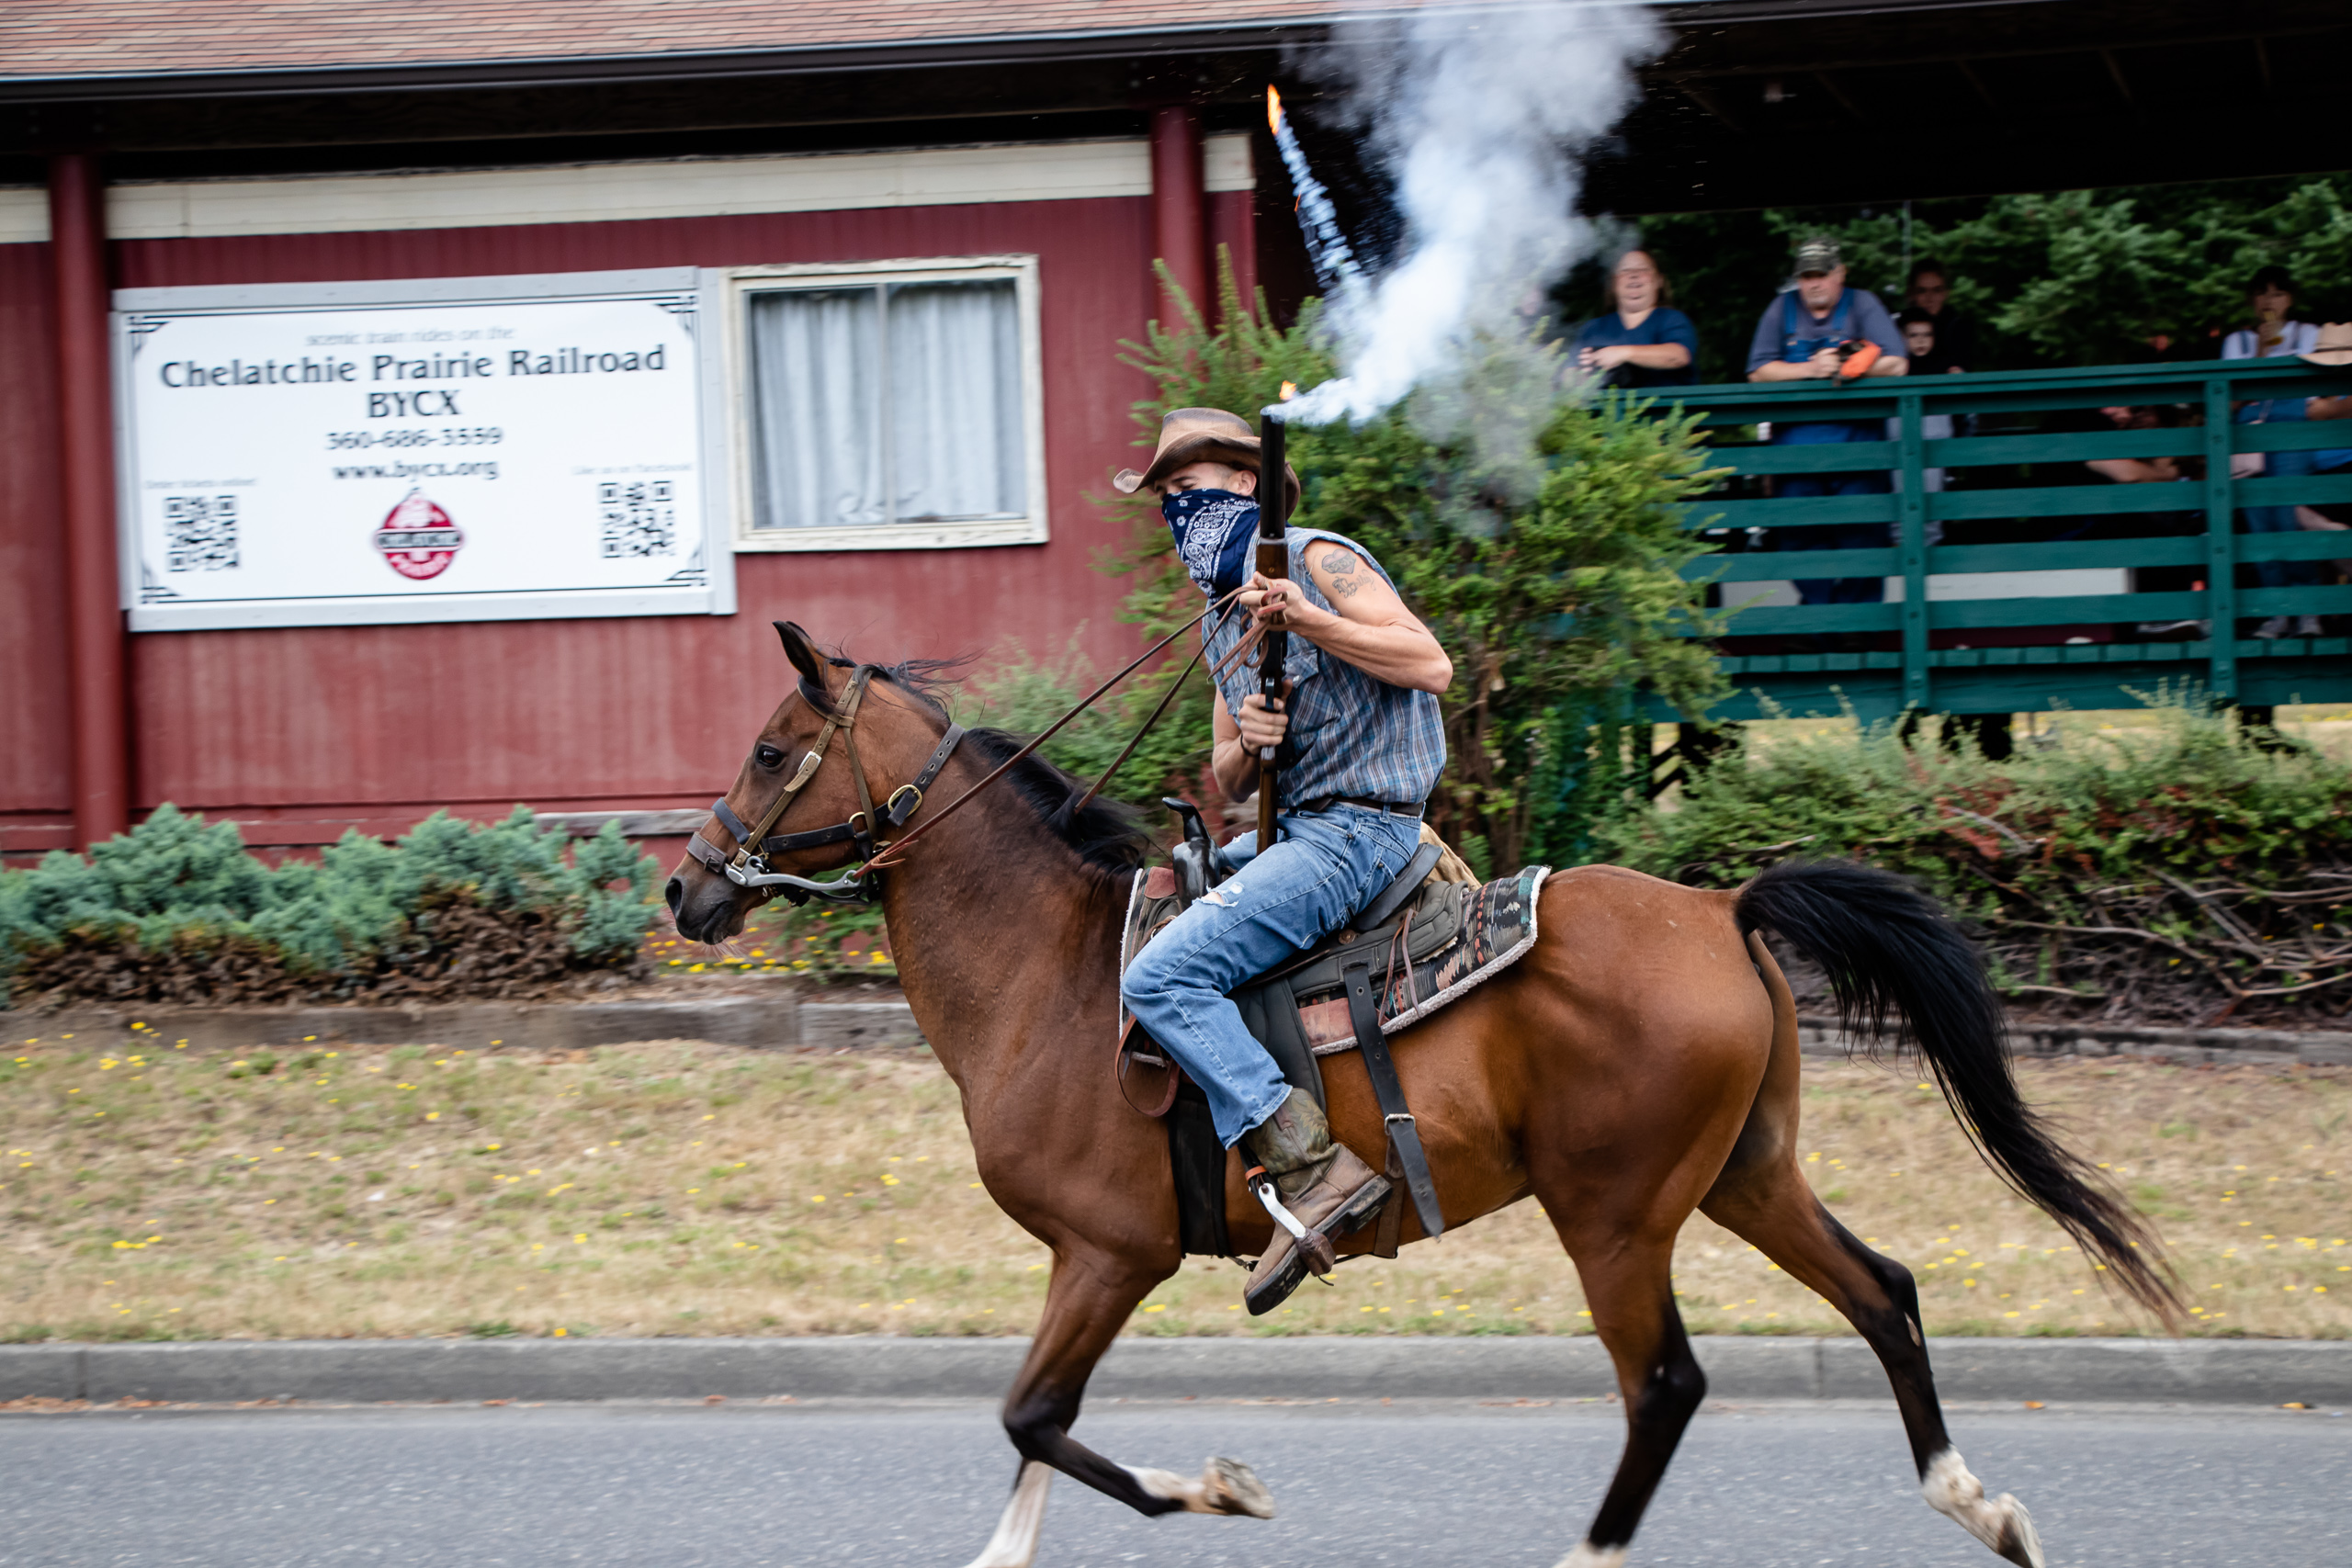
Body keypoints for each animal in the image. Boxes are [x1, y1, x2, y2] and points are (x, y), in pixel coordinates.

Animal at [666, 623, 2180, 1568]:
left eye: (769, 748)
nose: (686, 886)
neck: (1056, 972)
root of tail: (1721, 907)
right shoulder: (1076, 1262)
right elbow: (1034, 1428)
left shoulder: (1110, 1252)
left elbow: (1034, 1418)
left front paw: (1221, 1486)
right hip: (1747, 1172)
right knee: (1885, 1293)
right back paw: (1980, 1507)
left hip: (1614, 1214)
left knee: (1667, 1383)